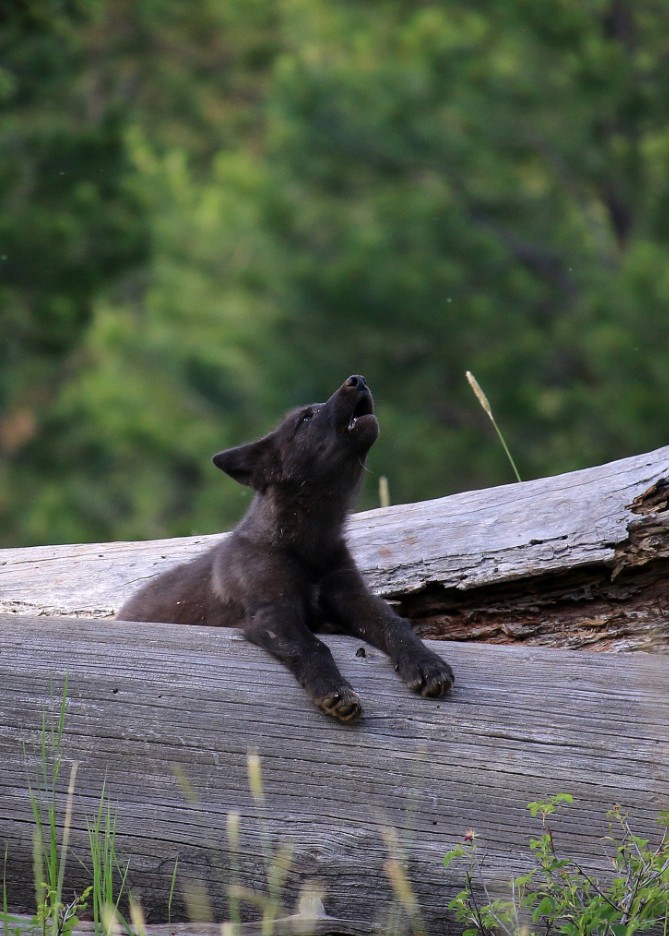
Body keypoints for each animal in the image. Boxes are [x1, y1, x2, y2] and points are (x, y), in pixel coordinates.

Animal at [117, 375, 454, 721]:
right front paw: (333, 690)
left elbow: (394, 625)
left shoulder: (353, 595)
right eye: (306, 418)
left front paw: (426, 664)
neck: (309, 542)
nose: (358, 379)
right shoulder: (274, 612)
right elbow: (313, 646)